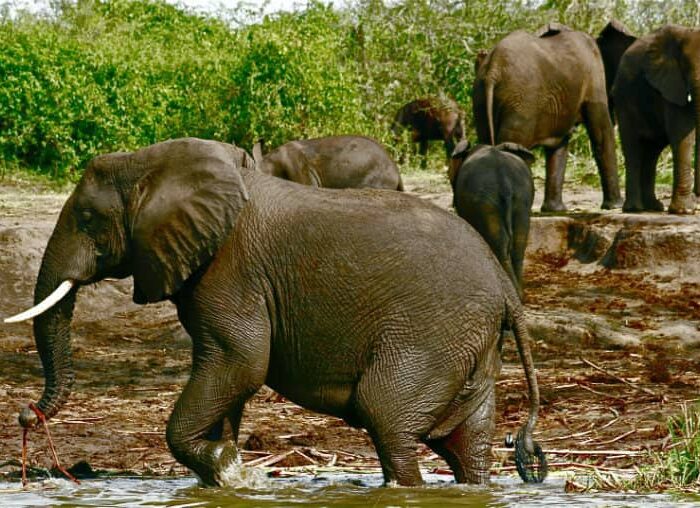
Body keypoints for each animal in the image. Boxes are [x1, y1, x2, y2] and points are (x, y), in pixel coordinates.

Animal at [449, 142, 535, 300]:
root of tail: (505, 182)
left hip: (485, 200)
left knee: (501, 244)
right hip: (519, 199)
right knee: (518, 244)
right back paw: (518, 294)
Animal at [472, 22, 622, 212]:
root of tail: (493, 69)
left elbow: (559, 146)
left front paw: (555, 211)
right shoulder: (593, 77)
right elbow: (601, 131)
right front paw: (616, 206)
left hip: (482, 97)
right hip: (522, 101)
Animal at [599, 23, 700, 214]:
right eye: (686, 67)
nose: (698, 199)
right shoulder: (670, 83)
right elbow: (681, 135)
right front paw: (683, 211)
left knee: (652, 151)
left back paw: (653, 207)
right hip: (624, 100)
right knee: (633, 149)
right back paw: (634, 209)